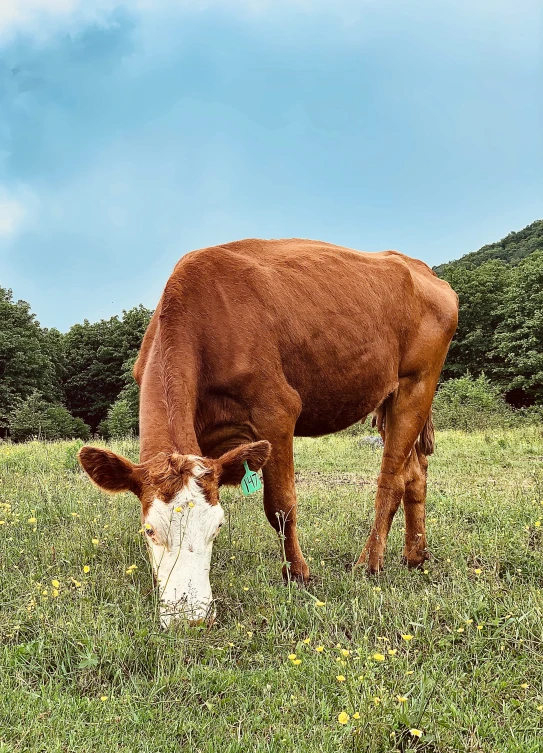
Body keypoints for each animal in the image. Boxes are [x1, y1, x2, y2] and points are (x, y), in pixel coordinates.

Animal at [77, 238, 460, 624]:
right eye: (149, 530)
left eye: (218, 527)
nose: (191, 617)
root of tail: (418, 266)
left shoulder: (276, 412)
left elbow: (281, 505)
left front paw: (298, 574)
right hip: (390, 396)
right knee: (415, 472)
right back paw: (415, 555)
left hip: (417, 383)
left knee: (392, 480)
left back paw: (369, 563)